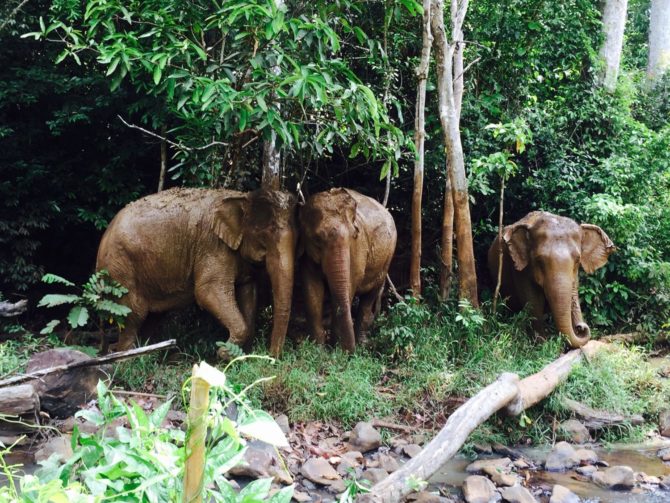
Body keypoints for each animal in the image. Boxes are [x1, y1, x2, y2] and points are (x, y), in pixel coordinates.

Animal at [96, 187, 296, 356]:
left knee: (152, 316)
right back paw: (126, 357)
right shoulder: (212, 246)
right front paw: (223, 353)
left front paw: (239, 355)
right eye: (266, 236)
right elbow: (207, 292)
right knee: (134, 313)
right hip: (120, 268)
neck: (242, 196)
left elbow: (248, 291)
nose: (271, 356)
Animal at [300, 187, 400, 352]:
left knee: (370, 296)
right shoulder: (306, 252)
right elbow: (311, 289)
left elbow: (351, 283)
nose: (350, 352)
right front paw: (318, 349)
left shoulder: (358, 247)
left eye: (353, 236)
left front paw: (337, 349)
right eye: (317, 239)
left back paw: (362, 343)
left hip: (388, 257)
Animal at [488, 211, 616, 348]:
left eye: (577, 260)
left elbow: (572, 293)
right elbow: (533, 300)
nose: (581, 327)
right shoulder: (518, 267)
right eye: (539, 261)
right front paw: (542, 344)